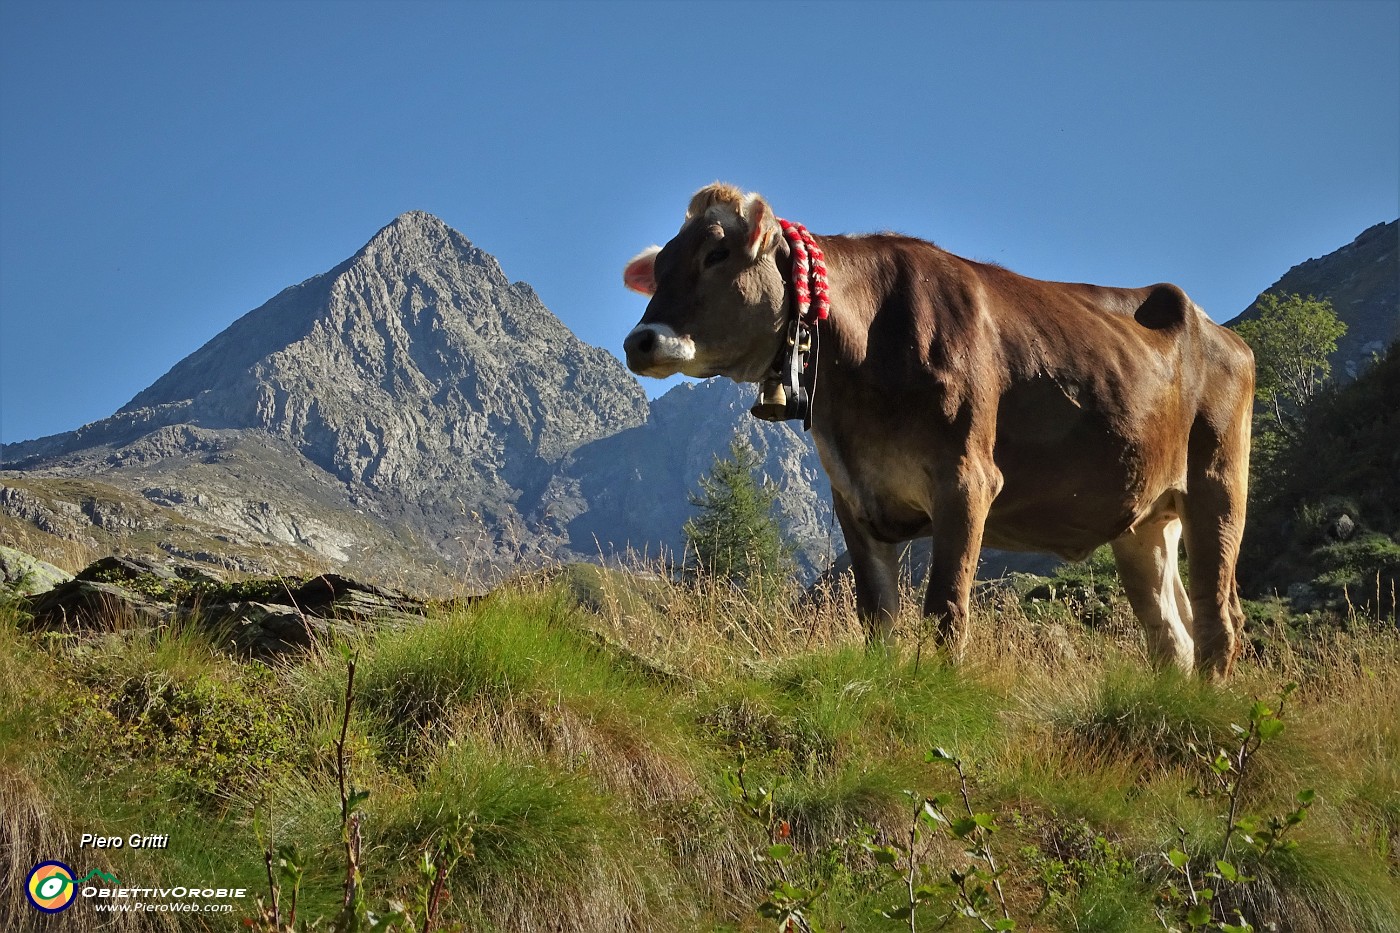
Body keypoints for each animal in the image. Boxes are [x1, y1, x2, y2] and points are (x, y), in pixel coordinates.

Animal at [624, 183, 1260, 675]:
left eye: (717, 252)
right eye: (660, 267)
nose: (640, 340)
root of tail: (1220, 332)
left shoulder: (966, 480)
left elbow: (945, 611)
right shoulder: (855, 495)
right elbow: (877, 614)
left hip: (1217, 488)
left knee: (1219, 618)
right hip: (1144, 519)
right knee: (1170, 633)